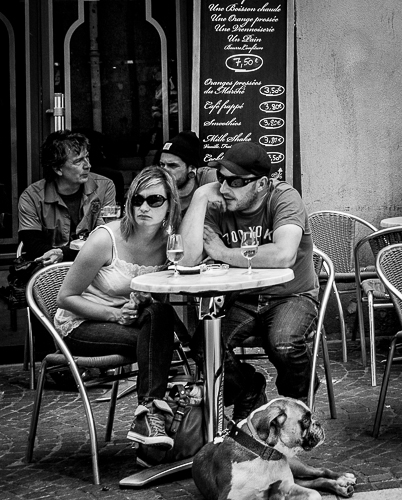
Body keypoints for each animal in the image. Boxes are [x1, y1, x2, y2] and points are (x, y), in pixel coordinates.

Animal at [192, 397, 356, 500]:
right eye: (305, 420)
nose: (318, 423)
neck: (265, 455)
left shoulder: (286, 487)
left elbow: (314, 494)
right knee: (317, 480)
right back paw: (341, 486)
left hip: (297, 467)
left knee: (321, 471)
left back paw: (344, 478)